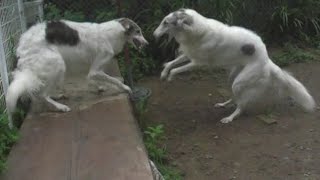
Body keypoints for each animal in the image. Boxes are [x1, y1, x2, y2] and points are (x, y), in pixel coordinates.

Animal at [5, 18, 149, 114]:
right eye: (138, 31)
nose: (147, 44)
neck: (111, 34)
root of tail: (22, 46)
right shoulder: (95, 69)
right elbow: (113, 80)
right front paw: (126, 88)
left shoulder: (94, 69)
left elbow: (95, 79)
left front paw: (99, 87)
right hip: (58, 64)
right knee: (41, 94)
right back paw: (60, 106)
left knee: (40, 92)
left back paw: (56, 96)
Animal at [153, 8, 316, 124]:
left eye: (166, 23)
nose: (153, 35)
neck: (196, 29)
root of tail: (266, 59)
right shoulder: (189, 55)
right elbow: (171, 64)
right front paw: (163, 74)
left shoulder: (197, 63)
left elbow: (176, 69)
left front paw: (170, 77)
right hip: (233, 78)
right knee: (234, 98)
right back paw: (223, 105)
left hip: (239, 82)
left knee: (241, 106)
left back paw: (230, 118)